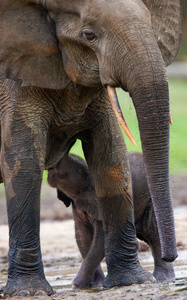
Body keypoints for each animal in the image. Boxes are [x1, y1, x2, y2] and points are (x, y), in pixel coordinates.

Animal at [47, 152, 174, 288]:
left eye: (75, 170)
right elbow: (83, 237)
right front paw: (94, 285)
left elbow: (100, 238)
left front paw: (77, 285)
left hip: (150, 200)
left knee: (152, 233)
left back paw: (162, 278)